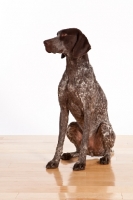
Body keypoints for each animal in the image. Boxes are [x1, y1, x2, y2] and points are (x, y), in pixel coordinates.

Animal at [43, 28, 115, 171]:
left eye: (64, 35)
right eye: (57, 34)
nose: (44, 42)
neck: (73, 70)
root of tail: (94, 152)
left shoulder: (87, 111)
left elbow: (84, 142)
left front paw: (81, 163)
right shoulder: (63, 110)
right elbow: (59, 141)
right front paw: (55, 161)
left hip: (105, 127)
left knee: (106, 150)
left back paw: (105, 158)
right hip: (71, 126)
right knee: (79, 149)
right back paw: (70, 154)